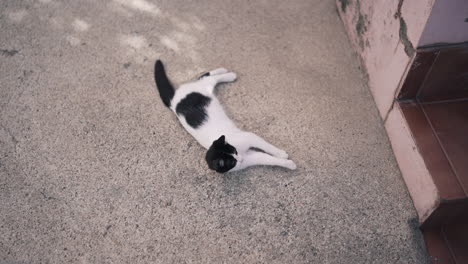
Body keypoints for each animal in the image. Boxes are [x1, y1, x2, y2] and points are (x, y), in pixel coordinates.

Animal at [155, 59, 298, 173]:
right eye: (232, 162)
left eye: (234, 150)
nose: (240, 158)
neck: (241, 152)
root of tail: (174, 98)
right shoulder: (250, 157)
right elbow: (268, 159)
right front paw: (288, 163)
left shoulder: (250, 137)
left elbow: (267, 146)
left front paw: (281, 154)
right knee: (204, 77)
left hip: (204, 87)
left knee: (207, 77)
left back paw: (228, 74)